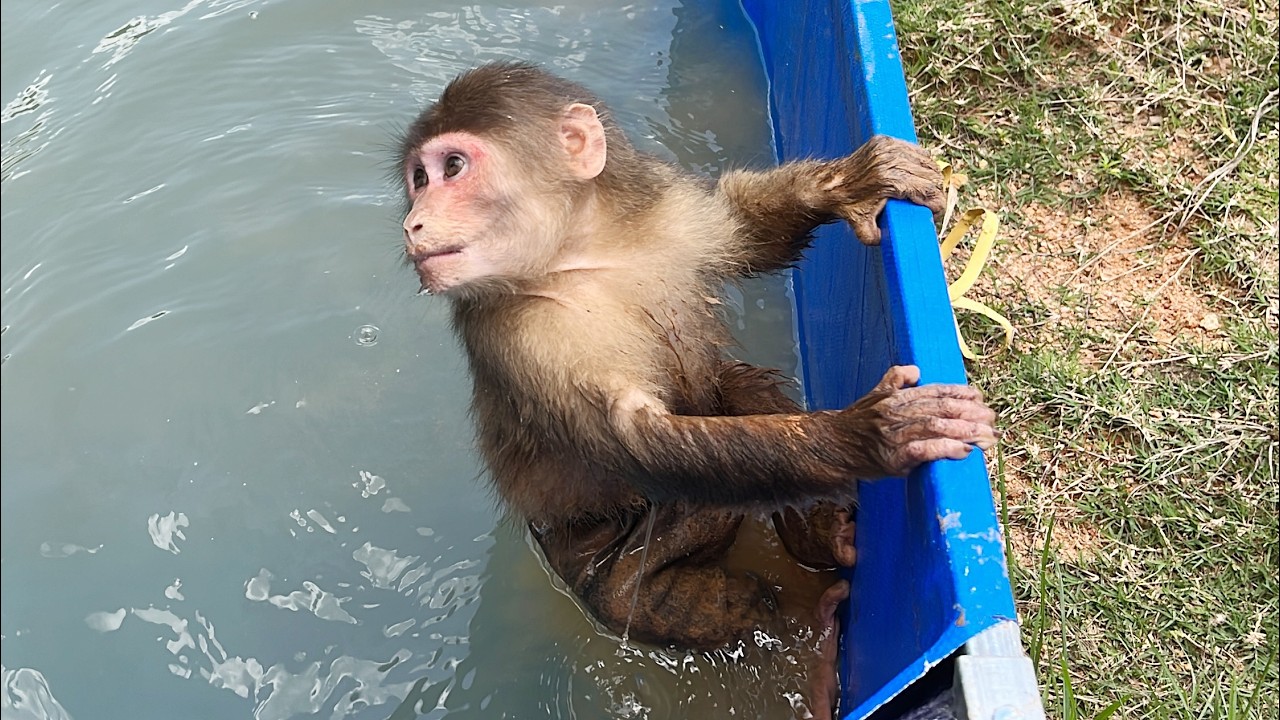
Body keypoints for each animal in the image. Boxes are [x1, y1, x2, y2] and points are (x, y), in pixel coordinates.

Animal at [396, 61, 997, 714]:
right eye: (419, 179)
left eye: (452, 168)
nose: (412, 221)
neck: (581, 259)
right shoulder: (525, 337)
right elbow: (636, 439)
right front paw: (863, 436)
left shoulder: (667, 216)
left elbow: (740, 234)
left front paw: (851, 184)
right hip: (582, 544)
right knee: (643, 572)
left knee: (732, 388)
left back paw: (821, 542)